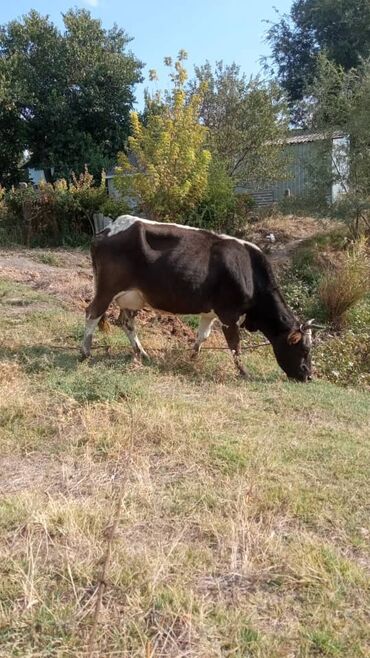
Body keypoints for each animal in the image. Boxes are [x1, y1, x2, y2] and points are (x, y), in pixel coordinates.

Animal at [81, 215, 316, 380]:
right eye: (304, 349)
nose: (308, 376)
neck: (249, 271)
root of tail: (107, 229)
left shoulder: (209, 313)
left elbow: (202, 337)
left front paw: (192, 358)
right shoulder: (229, 314)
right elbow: (235, 345)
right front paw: (243, 372)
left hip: (133, 297)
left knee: (126, 323)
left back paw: (143, 354)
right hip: (107, 288)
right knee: (92, 313)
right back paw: (85, 352)